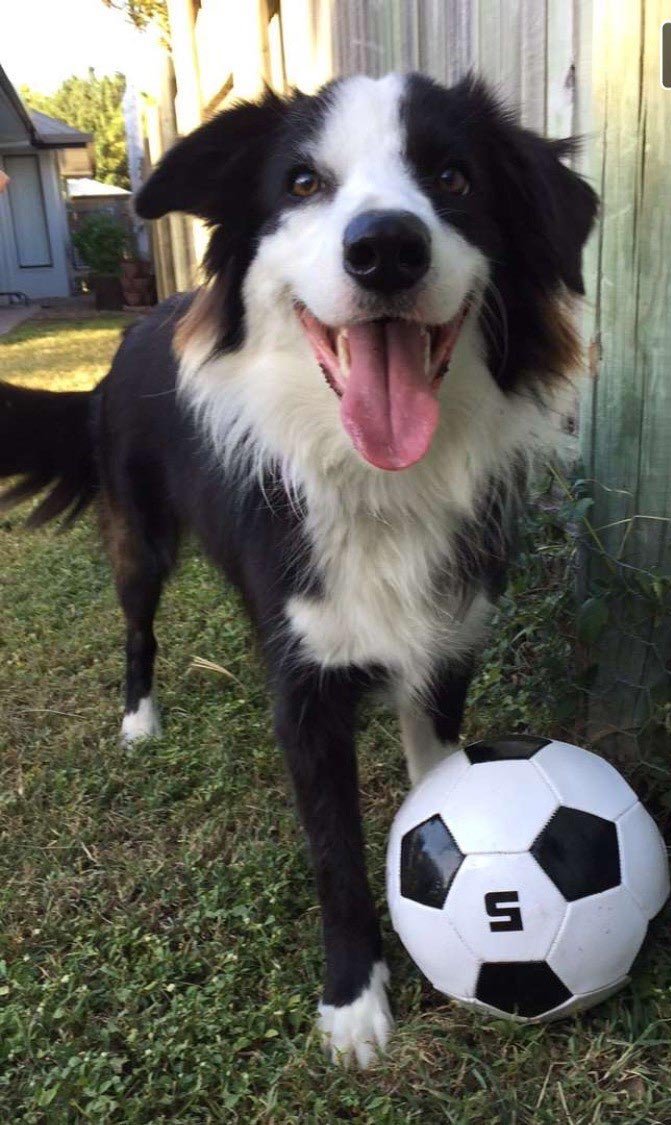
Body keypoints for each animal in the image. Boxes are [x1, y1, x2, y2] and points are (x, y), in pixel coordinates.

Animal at [0, 73, 597, 1066]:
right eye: (305, 183)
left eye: (452, 177)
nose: (385, 247)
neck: (377, 481)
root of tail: (138, 325)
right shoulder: (307, 687)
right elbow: (333, 851)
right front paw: (353, 1001)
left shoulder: (446, 644)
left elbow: (434, 785)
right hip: (140, 537)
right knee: (137, 625)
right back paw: (139, 720)